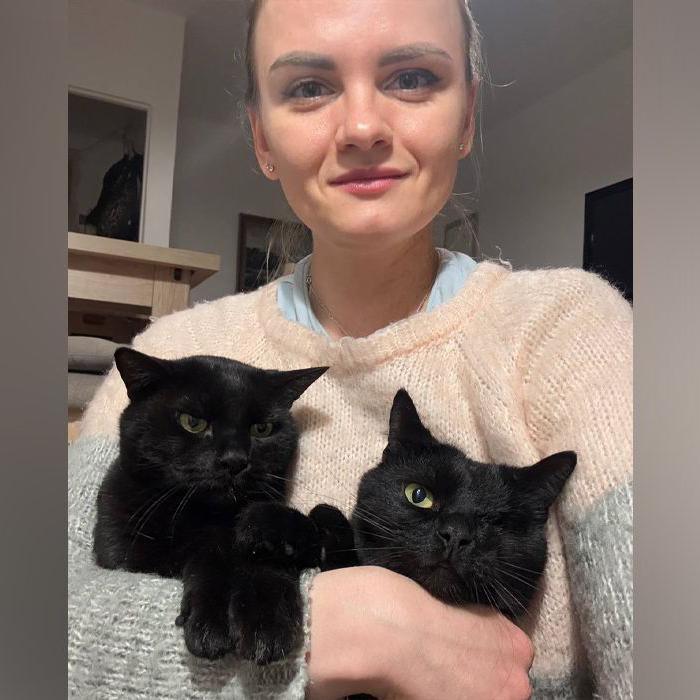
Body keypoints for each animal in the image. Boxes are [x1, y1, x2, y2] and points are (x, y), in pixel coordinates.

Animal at [92, 350, 328, 660]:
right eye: (192, 422)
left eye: (262, 429)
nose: (235, 460)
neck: (198, 517)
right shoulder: (120, 550)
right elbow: (210, 569)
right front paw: (211, 627)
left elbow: (264, 562)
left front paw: (267, 622)